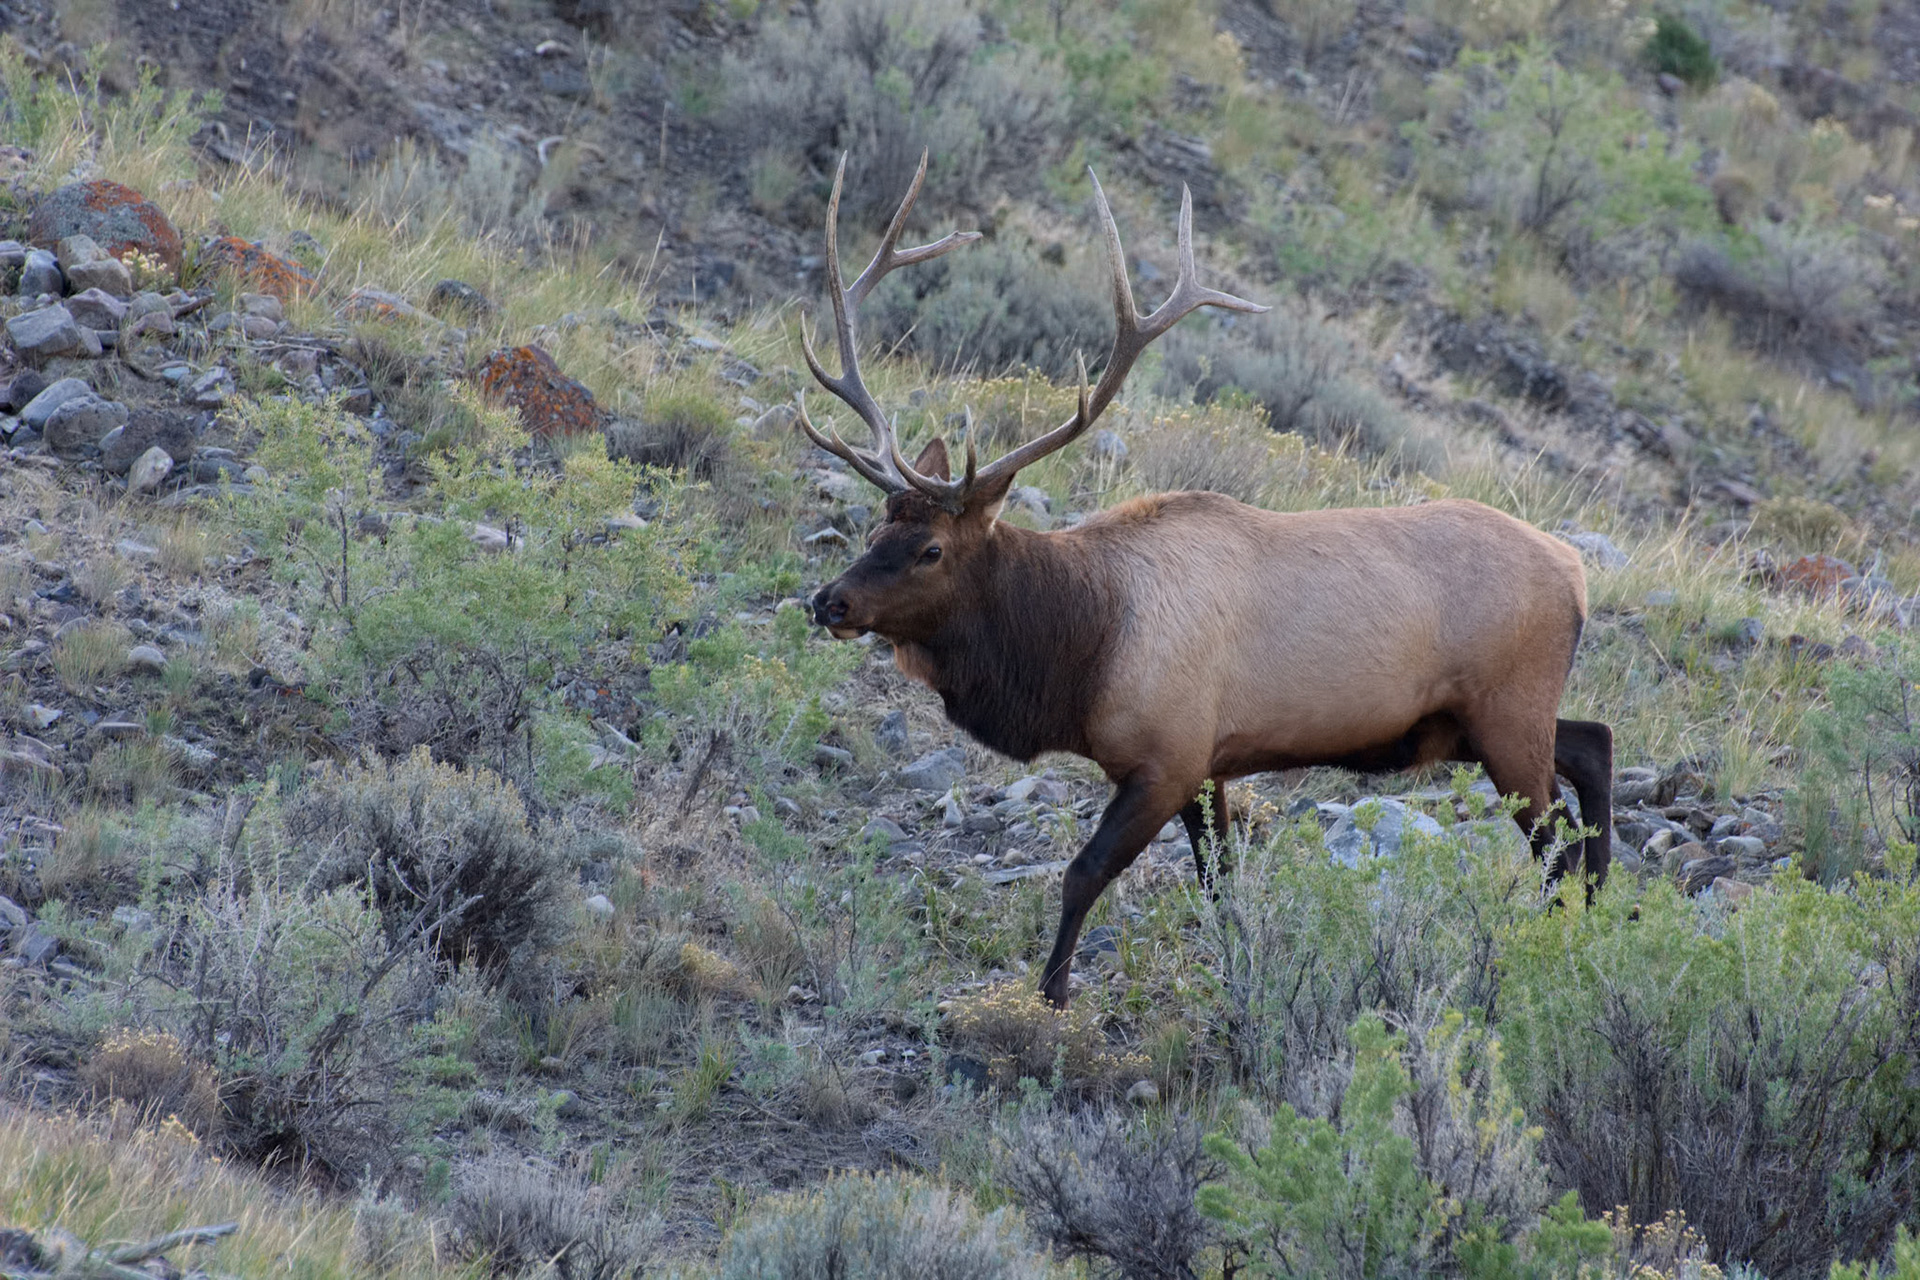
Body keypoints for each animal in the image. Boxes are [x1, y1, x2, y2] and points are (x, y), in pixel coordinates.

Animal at [797, 153, 1613, 1007]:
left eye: (930, 550)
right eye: (875, 528)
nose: (829, 601)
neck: (1079, 651)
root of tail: (1576, 571)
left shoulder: (1169, 757)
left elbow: (1084, 874)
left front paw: (1053, 995)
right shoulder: (1208, 766)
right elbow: (1218, 883)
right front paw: (1235, 978)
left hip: (1505, 713)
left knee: (1557, 846)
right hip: (1479, 720)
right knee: (1593, 743)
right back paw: (1605, 910)